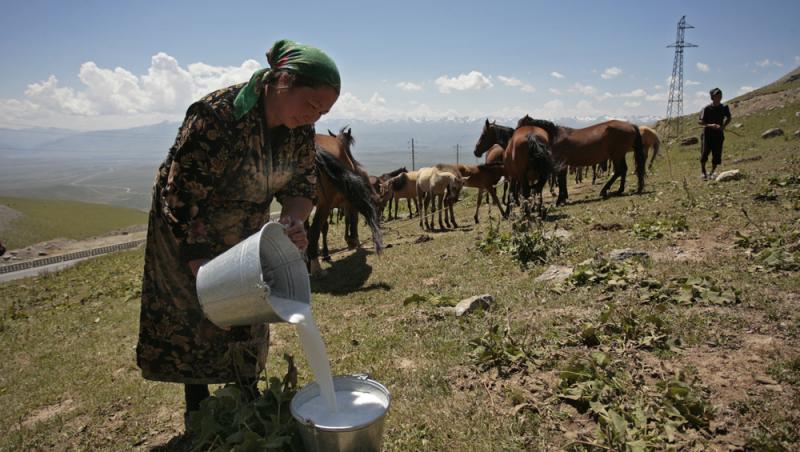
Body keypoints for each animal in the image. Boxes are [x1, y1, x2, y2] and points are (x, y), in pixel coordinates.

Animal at [308, 127, 382, 276]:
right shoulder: (347, 202)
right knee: (313, 231)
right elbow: (352, 219)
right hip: (324, 204)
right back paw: (316, 267)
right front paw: (353, 239)